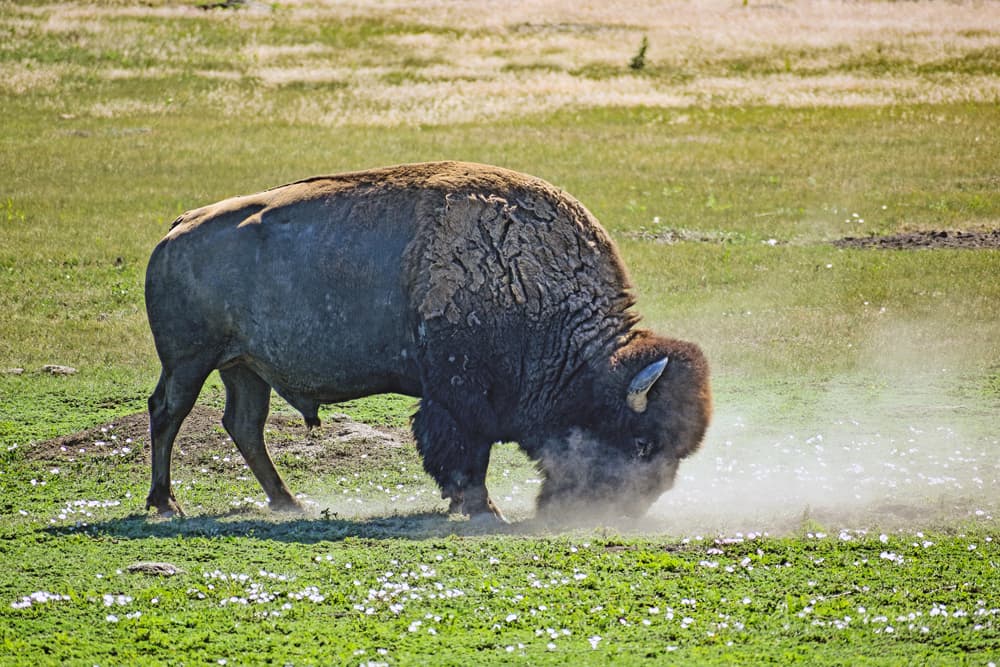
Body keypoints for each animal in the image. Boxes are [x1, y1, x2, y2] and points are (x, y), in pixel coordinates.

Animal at [145, 161, 711, 522]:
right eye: (642, 444)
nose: (621, 512)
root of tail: (177, 227)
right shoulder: (460, 396)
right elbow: (464, 452)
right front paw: (484, 510)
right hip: (190, 363)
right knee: (167, 413)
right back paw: (166, 504)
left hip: (243, 367)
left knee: (244, 425)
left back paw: (288, 503)